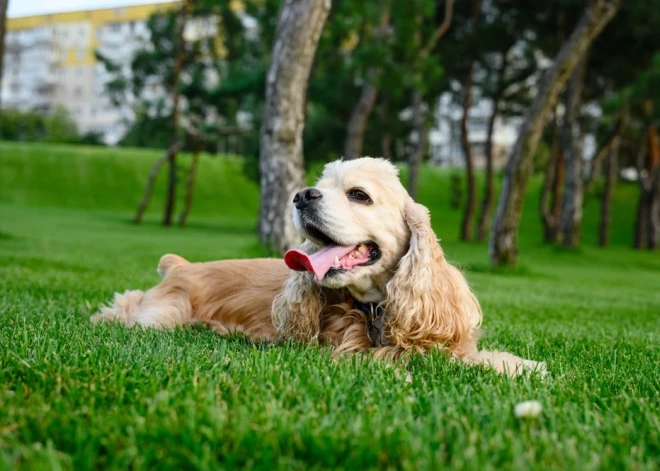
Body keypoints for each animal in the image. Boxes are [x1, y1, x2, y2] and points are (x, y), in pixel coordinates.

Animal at [94, 158, 548, 376]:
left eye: (359, 194)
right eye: (321, 185)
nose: (301, 195)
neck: (374, 307)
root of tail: (180, 265)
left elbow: (467, 353)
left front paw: (523, 365)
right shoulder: (350, 352)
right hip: (160, 316)